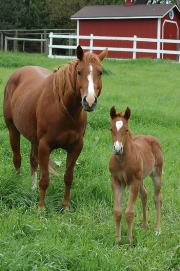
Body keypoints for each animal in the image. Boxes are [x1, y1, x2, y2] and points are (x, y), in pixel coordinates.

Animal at [3, 45, 107, 210]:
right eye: (79, 72)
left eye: (100, 72)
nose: (89, 101)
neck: (64, 110)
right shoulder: (45, 146)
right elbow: (45, 179)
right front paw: (41, 208)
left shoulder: (76, 147)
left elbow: (68, 177)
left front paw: (65, 206)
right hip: (13, 130)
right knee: (17, 158)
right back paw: (18, 184)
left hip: (34, 140)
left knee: (33, 160)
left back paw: (32, 188)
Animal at [108, 107, 163, 245]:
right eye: (111, 129)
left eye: (126, 129)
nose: (117, 149)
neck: (122, 160)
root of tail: (151, 137)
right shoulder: (117, 182)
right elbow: (117, 212)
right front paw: (118, 241)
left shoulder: (133, 182)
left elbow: (129, 213)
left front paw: (130, 241)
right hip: (141, 178)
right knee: (144, 194)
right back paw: (144, 225)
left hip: (156, 174)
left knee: (157, 198)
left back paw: (157, 230)